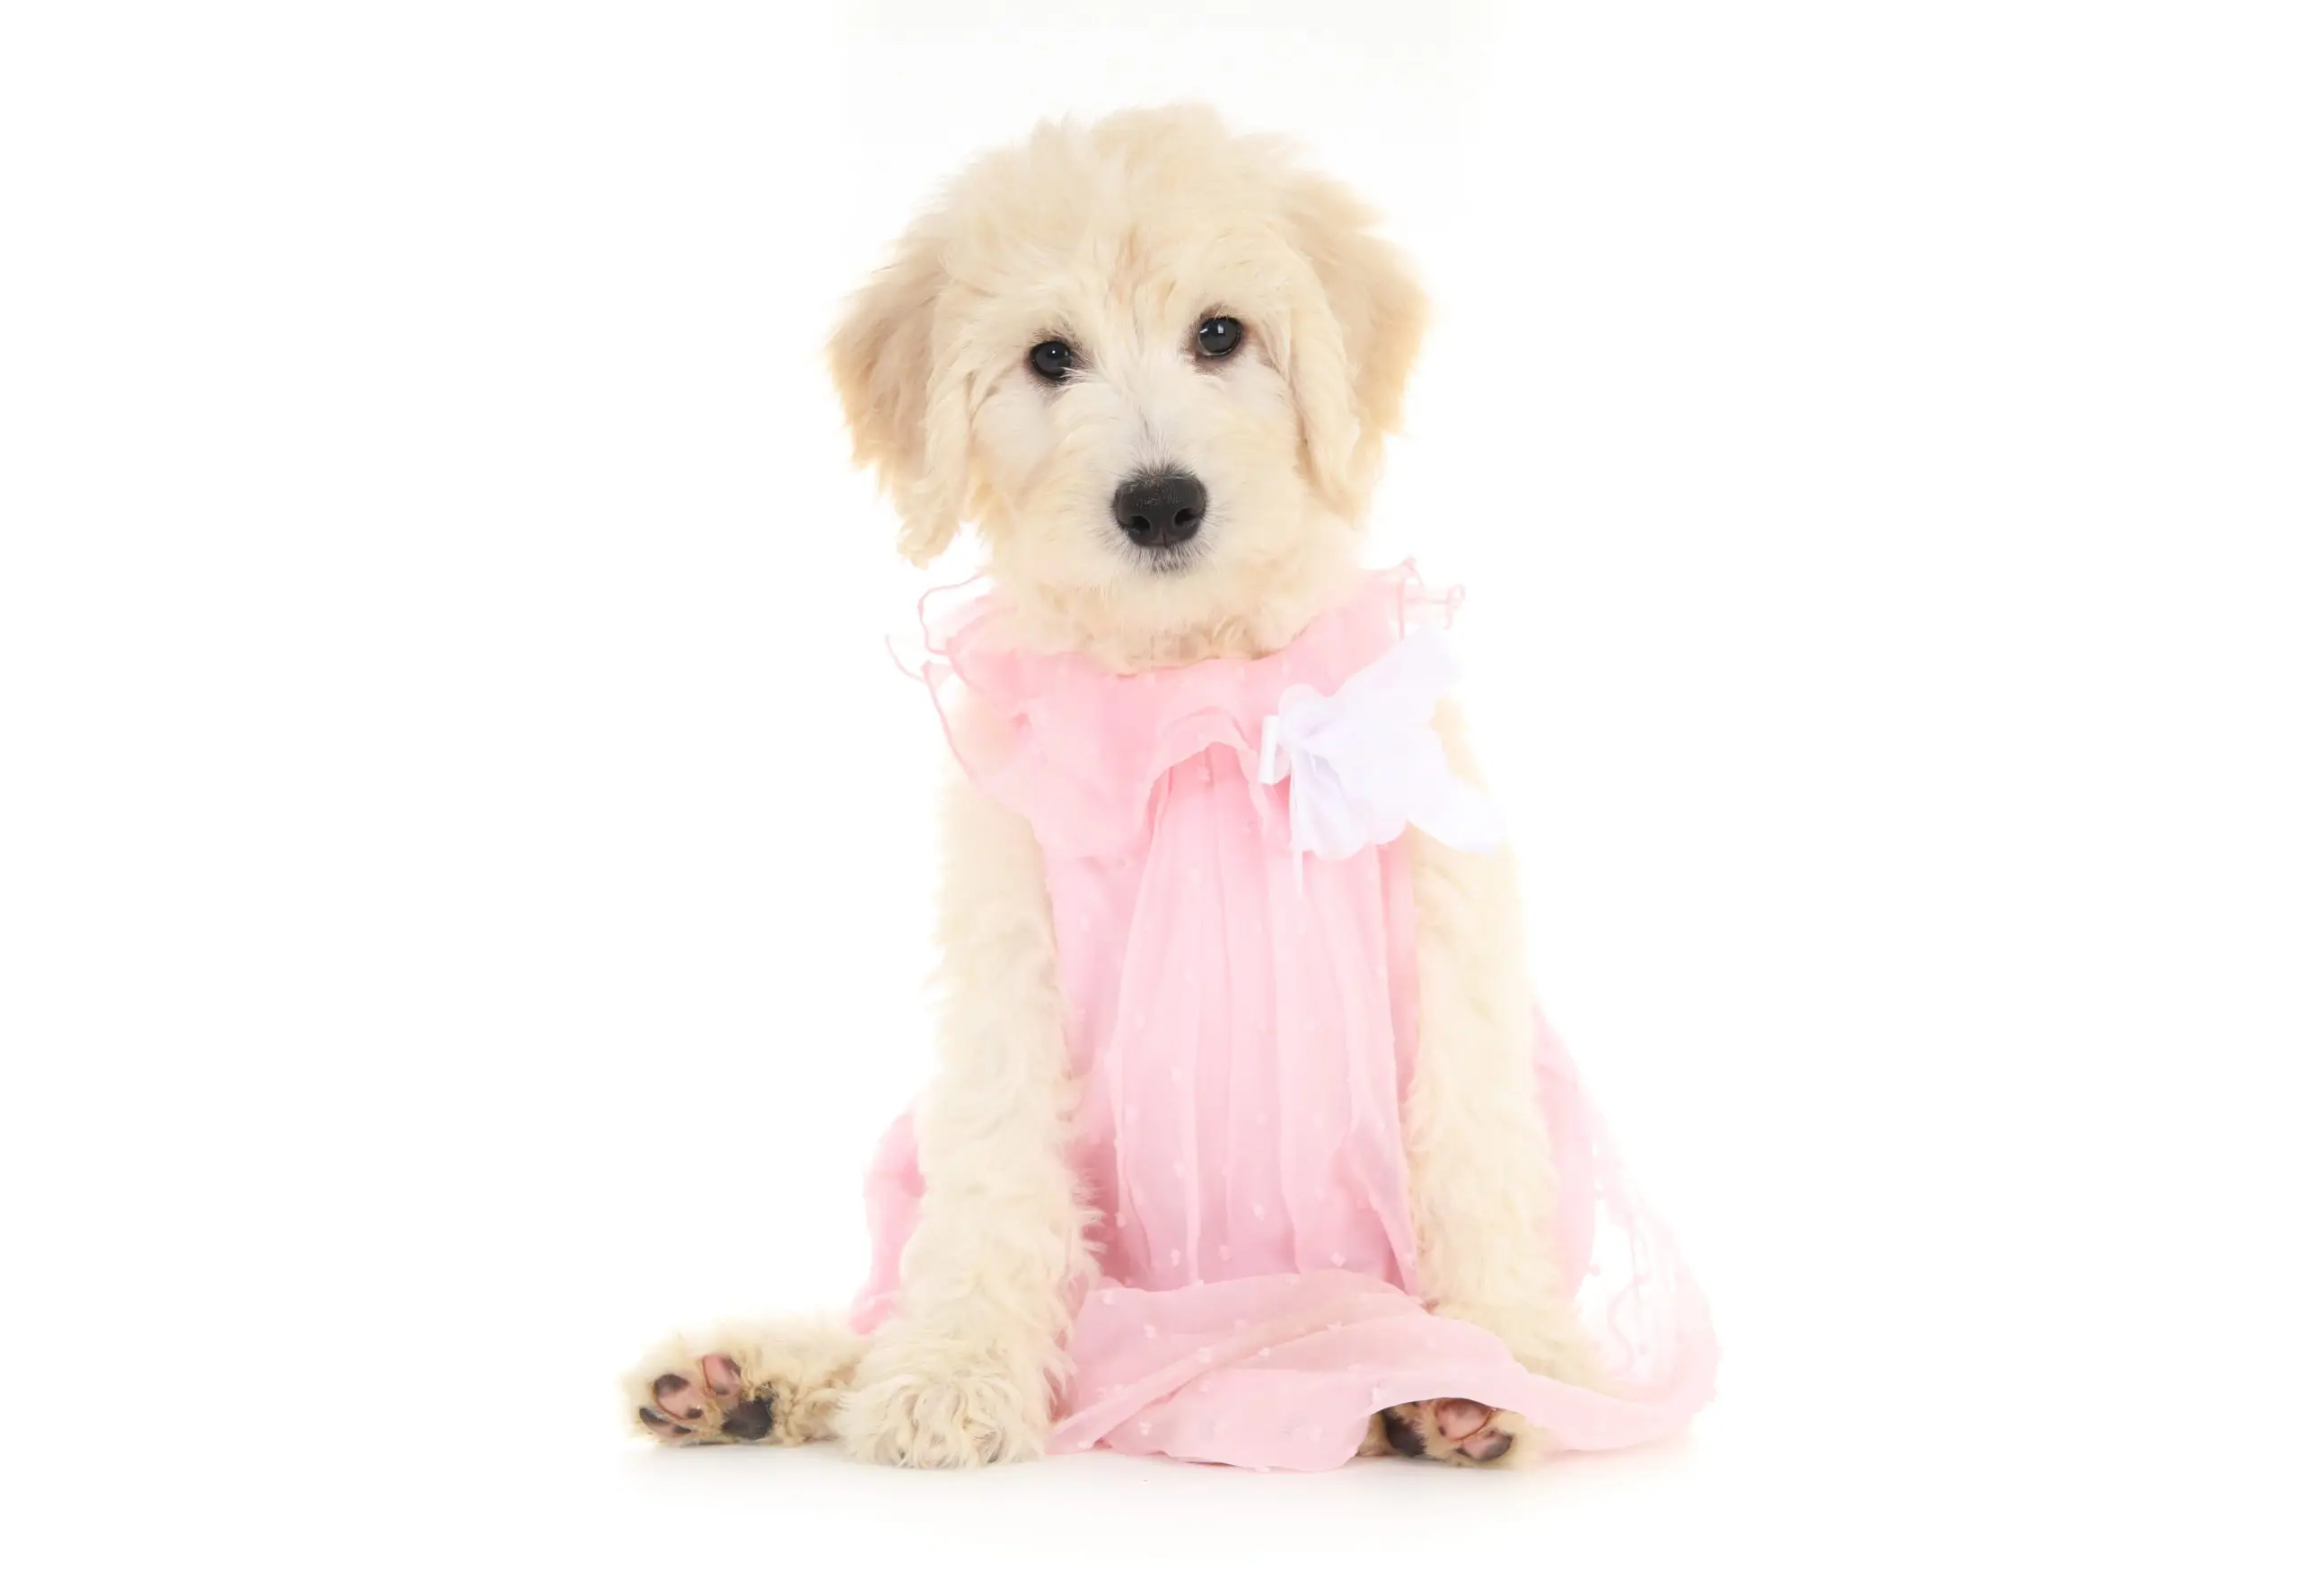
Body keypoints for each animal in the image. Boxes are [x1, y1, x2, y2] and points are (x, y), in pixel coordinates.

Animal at [629, 109, 1645, 1469]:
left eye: (1222, 333)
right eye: (1049, 357)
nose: (1160, 502)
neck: (1191, 699)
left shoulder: (1451, 942)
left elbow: (1477, 1156)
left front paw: (1520, 1366)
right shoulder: (1010, 972)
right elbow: (995, 1184)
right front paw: (953, 1371)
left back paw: (1432, 1392)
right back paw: (749, 1377)